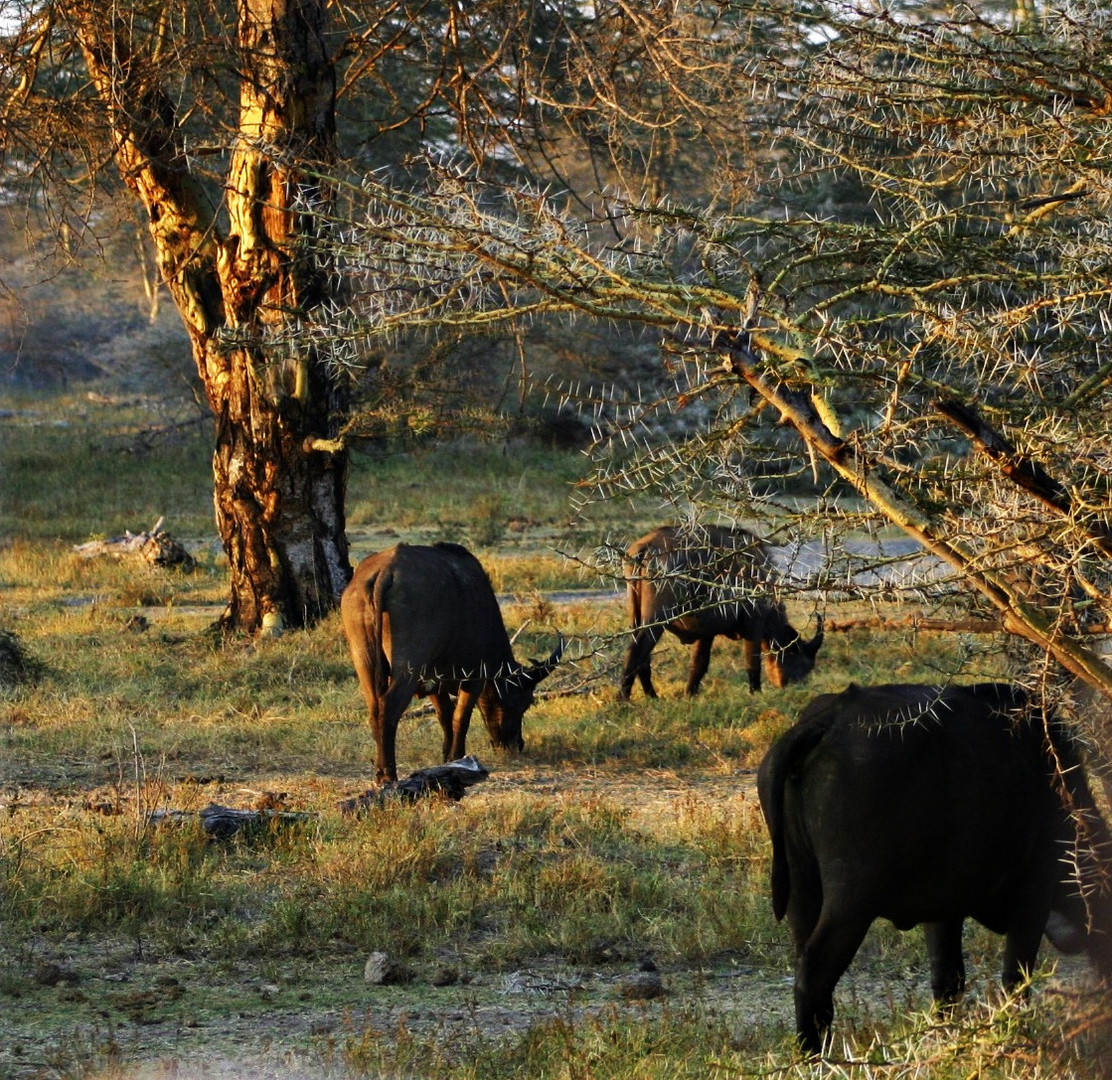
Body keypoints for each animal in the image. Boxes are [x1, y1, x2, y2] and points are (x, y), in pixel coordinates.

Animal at [340, 545, 564, 783]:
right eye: (525, 701)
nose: (516, 745)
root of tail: (386, 571)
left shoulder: (433, 682)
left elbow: (445, 715)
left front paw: (447, 756)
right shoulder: (474, 679)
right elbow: (460, 717)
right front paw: (458, 757)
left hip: (364, 661)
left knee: (374, 709)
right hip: (408, 668)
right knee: (389, 707)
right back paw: (388, 774)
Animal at [622, 524, 822, 702]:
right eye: (803, 664)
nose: (796, 687)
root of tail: (646, 547)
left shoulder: (706, 633)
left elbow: (699, 663)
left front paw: (690, 693)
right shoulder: (754, 628)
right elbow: (752, 663)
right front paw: (756, 692)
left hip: (636, 619)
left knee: (642, 659)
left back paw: (651, 696)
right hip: (657, 620)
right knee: (636, 653)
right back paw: (624, 699)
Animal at [756, 685, 1112, 1054]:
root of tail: (828, 718)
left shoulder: (943, 912)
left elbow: (947, 980)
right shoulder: (1033, 898)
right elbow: (1015, 978)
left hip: (801, 892)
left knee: (807, 964)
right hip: (850, 905)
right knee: (813, 971)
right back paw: (813, 1052)